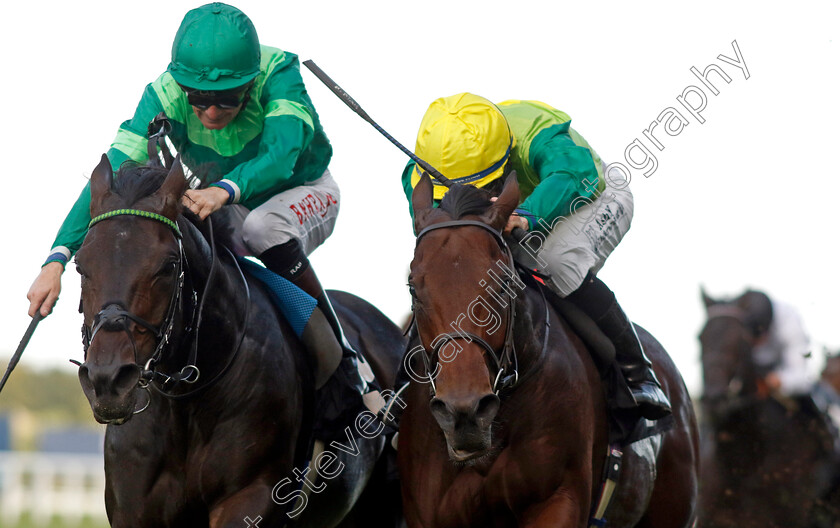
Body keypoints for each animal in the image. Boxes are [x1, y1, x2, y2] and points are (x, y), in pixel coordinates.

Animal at [70, 155, 406, 524]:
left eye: (168, 266)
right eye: (80, 266)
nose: (108, 380)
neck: (185, 404)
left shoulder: (252, 494)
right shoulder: (132, 508)